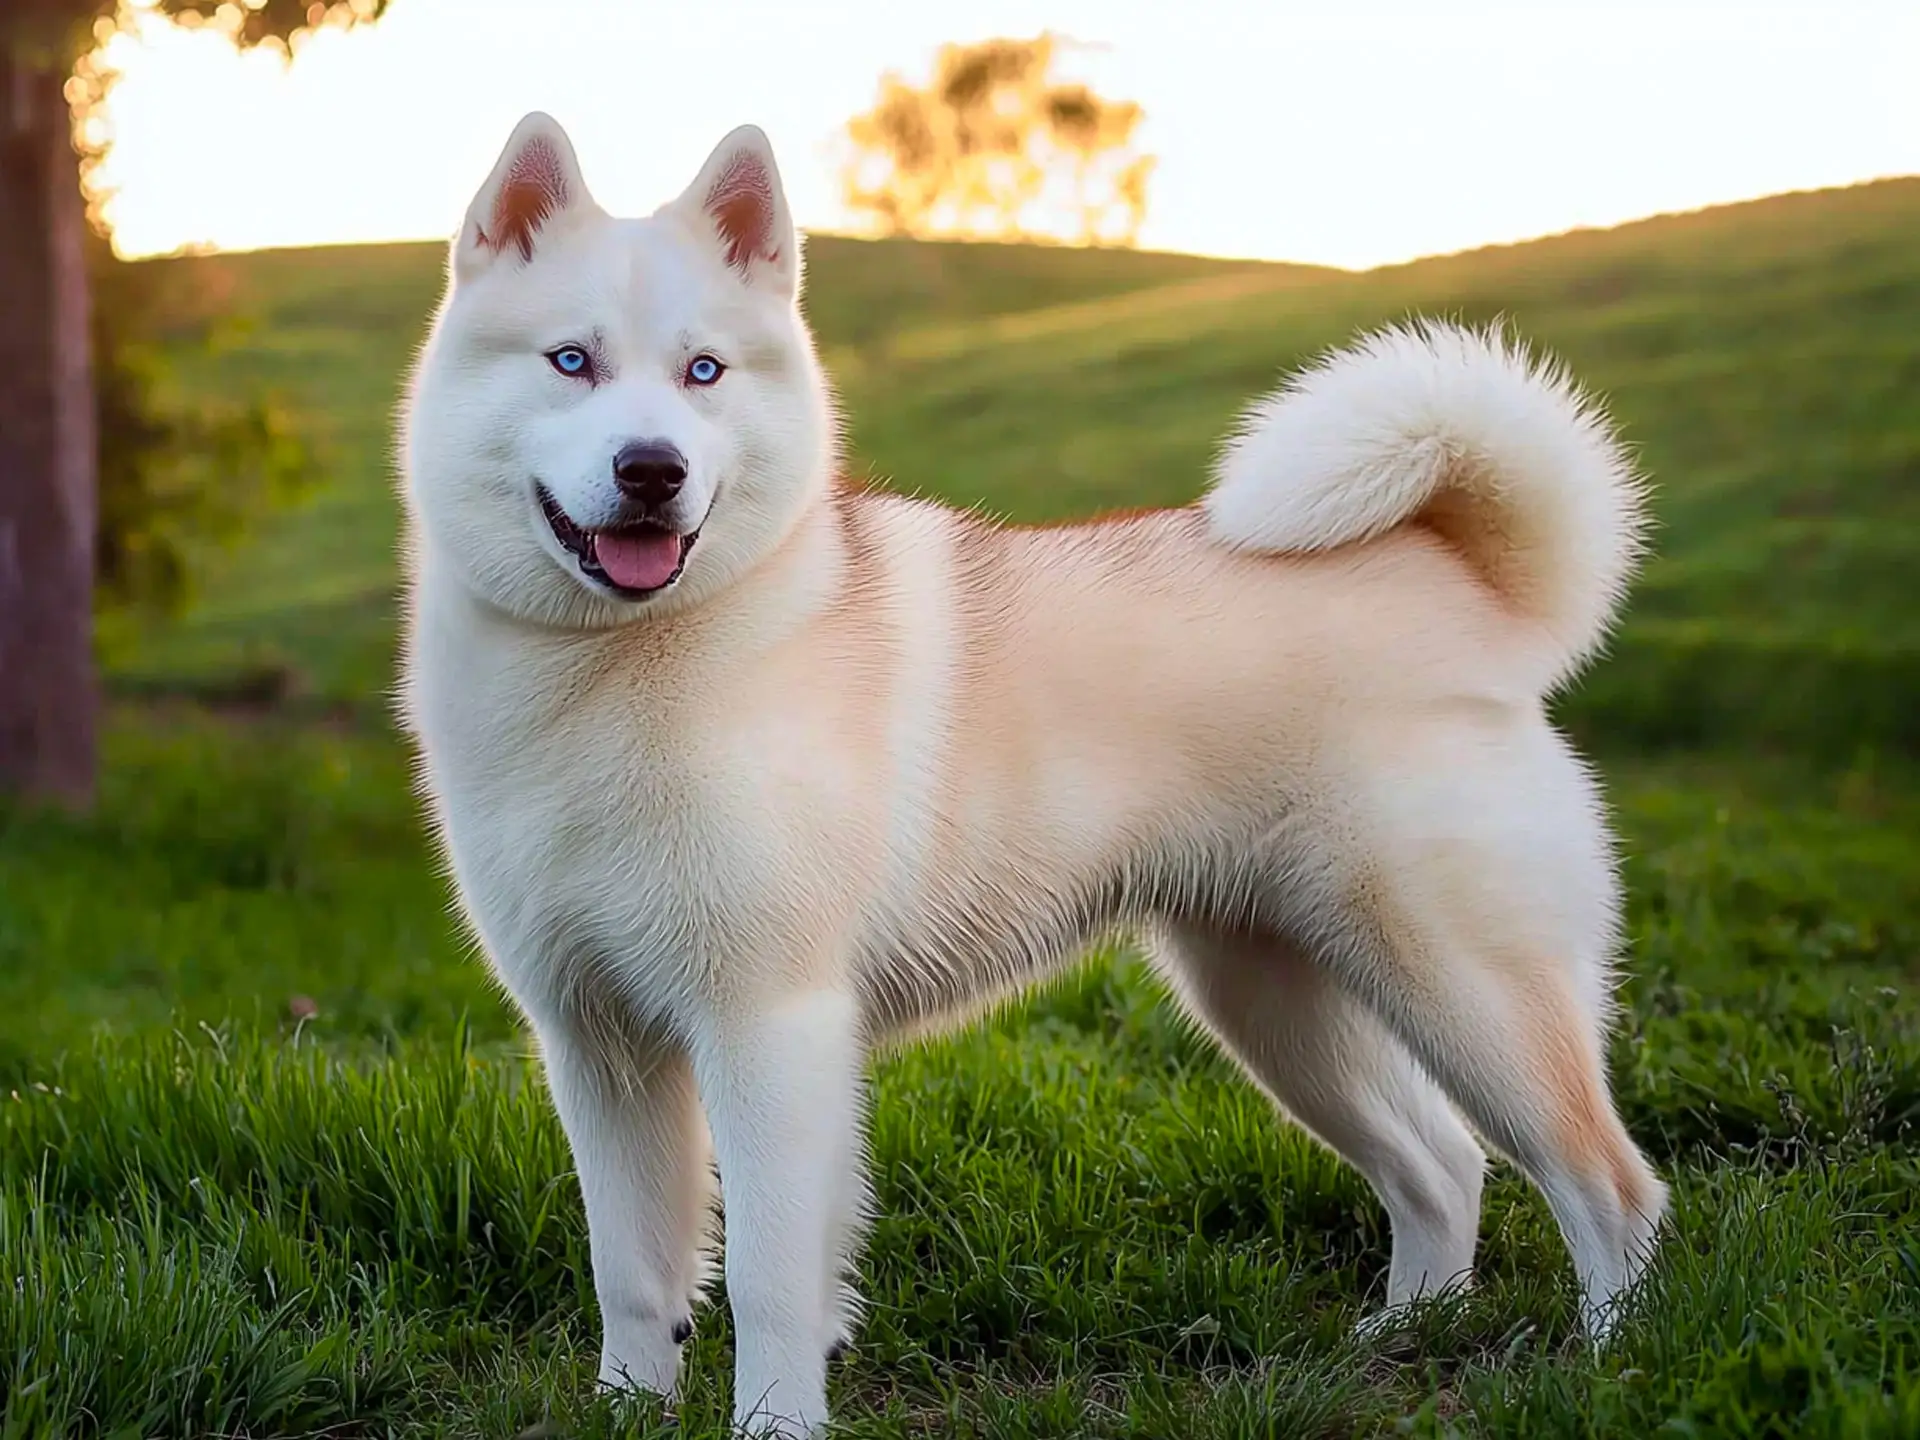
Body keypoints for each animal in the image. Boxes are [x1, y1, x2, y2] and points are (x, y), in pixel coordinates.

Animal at [397, 112, 1674, 1440]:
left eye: (704, 372)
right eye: (572, 362)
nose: (652, 470)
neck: (623, 673)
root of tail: (1467, 592)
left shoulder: (767, 1026)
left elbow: (766, 1277)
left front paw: (776, 1422)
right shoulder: (597, 1044)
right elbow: (635, 1273)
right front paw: (625, 1413)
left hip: (1467, 992)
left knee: (1612, 1187)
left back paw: (1611, 1371)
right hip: (1276, 1007)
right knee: (1443, 1168)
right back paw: (1404, 1334)